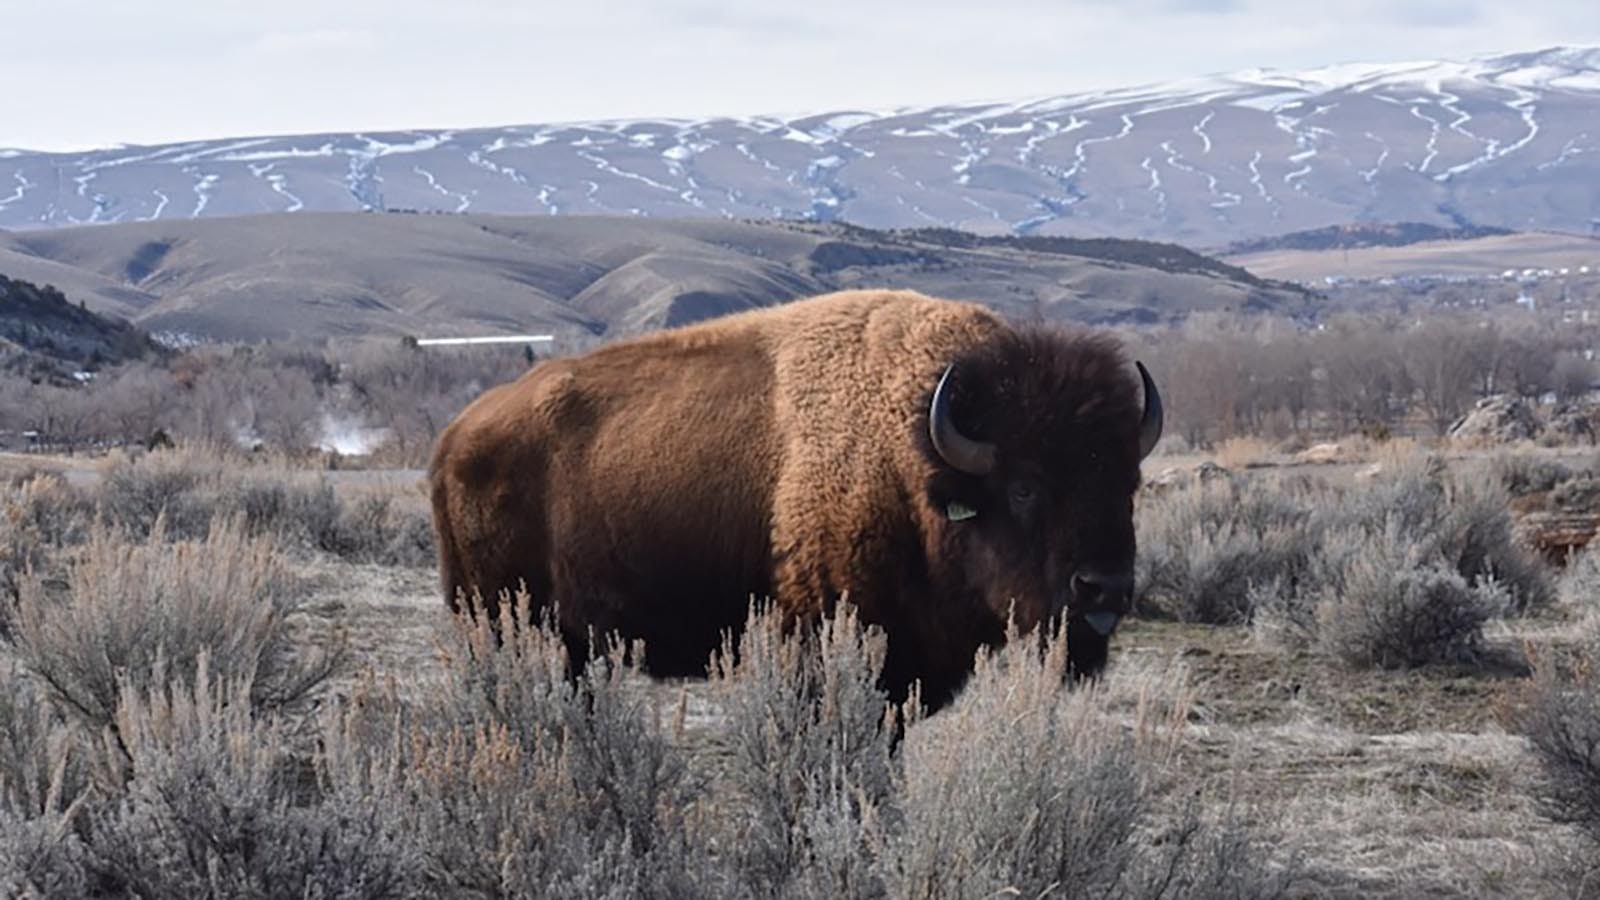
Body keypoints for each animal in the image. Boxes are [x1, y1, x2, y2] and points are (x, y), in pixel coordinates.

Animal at [428, 286, 1164, 707]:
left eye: (1126, 481)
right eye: (1025, 485)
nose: (1104, 589)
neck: (913, 451)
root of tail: (454, 438)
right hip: (499, 619)